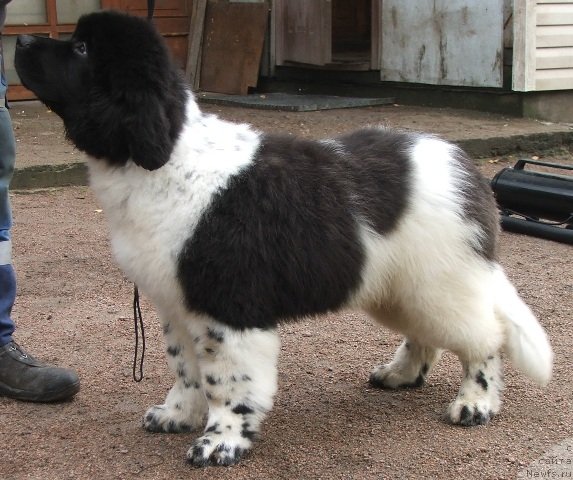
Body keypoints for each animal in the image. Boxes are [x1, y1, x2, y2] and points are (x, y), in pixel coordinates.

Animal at [13, 10, 552, 468]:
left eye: (81, 48)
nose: (18, 39)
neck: (167, 160)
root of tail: (466, 167)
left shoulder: (228, 308)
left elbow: (226, 381)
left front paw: (220, 442)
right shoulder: (177, 304)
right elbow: (186, 369)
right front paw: (177, 415)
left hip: (442, 281)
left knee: (485, 337)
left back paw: (475, 402)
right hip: (398, 287)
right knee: (429, 335)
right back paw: (400, 374)